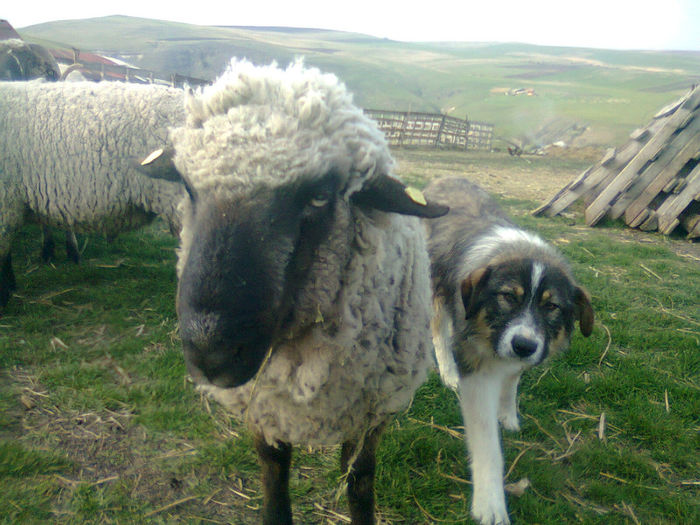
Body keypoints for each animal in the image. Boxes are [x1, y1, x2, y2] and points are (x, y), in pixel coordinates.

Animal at [140, 59, 448, 520]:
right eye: (187, 187)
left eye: (319, 196)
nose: (211, 353)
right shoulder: (263, 407)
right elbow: (274, 473)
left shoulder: (374, 409)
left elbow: (360, 479)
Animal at [424, 177, 592, 524]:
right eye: (508, 297)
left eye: (552, 306)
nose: (523, 346)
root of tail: (443, 179)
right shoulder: (477, 372)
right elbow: (488, 445)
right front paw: (490, 503)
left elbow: (512, 381)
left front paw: (508, 414)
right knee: (438, 330)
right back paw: (447, 372)